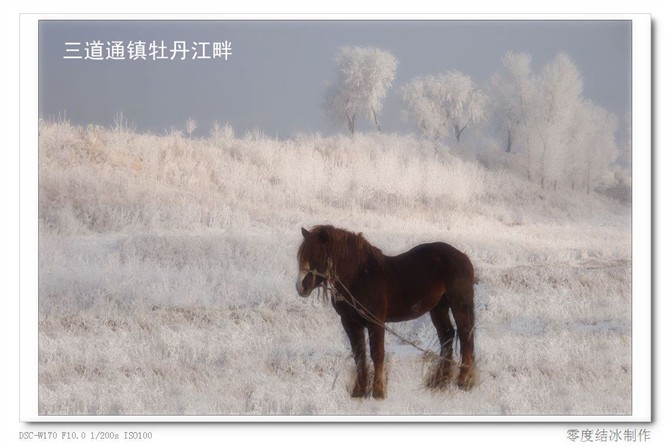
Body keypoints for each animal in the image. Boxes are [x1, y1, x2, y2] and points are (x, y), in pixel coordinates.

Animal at [296, 224, 478, 400]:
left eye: (318, 255)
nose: (300, 287)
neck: (360, 278)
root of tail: (463, 257)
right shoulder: (350, 323)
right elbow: (359, 355)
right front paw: (358, 391)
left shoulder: (375, 323)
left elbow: (377, 354)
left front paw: (378, 392)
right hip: (438, 307)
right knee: (447, 336)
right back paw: (440, 382)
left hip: (459, 304)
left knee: (465, 336)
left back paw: (463, 381)